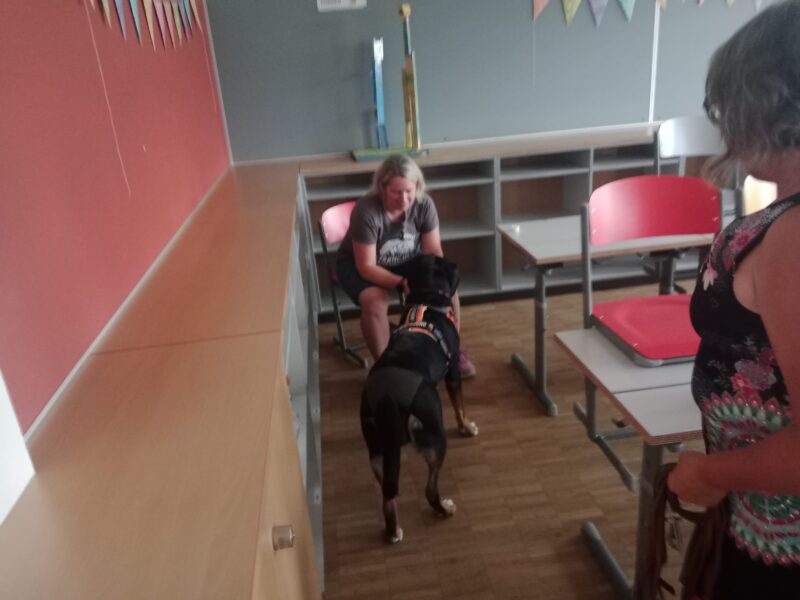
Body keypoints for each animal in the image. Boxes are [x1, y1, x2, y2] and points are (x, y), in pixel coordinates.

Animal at [360, 253, 478, 544]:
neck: (428, 297)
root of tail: (388, 396)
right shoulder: (452, 372)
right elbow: (459, 405)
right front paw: (466, 426)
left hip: (376, 448)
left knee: (388, 493)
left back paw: (392, 530)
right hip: (434, 432)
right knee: (429, 489)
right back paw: (444, 509)